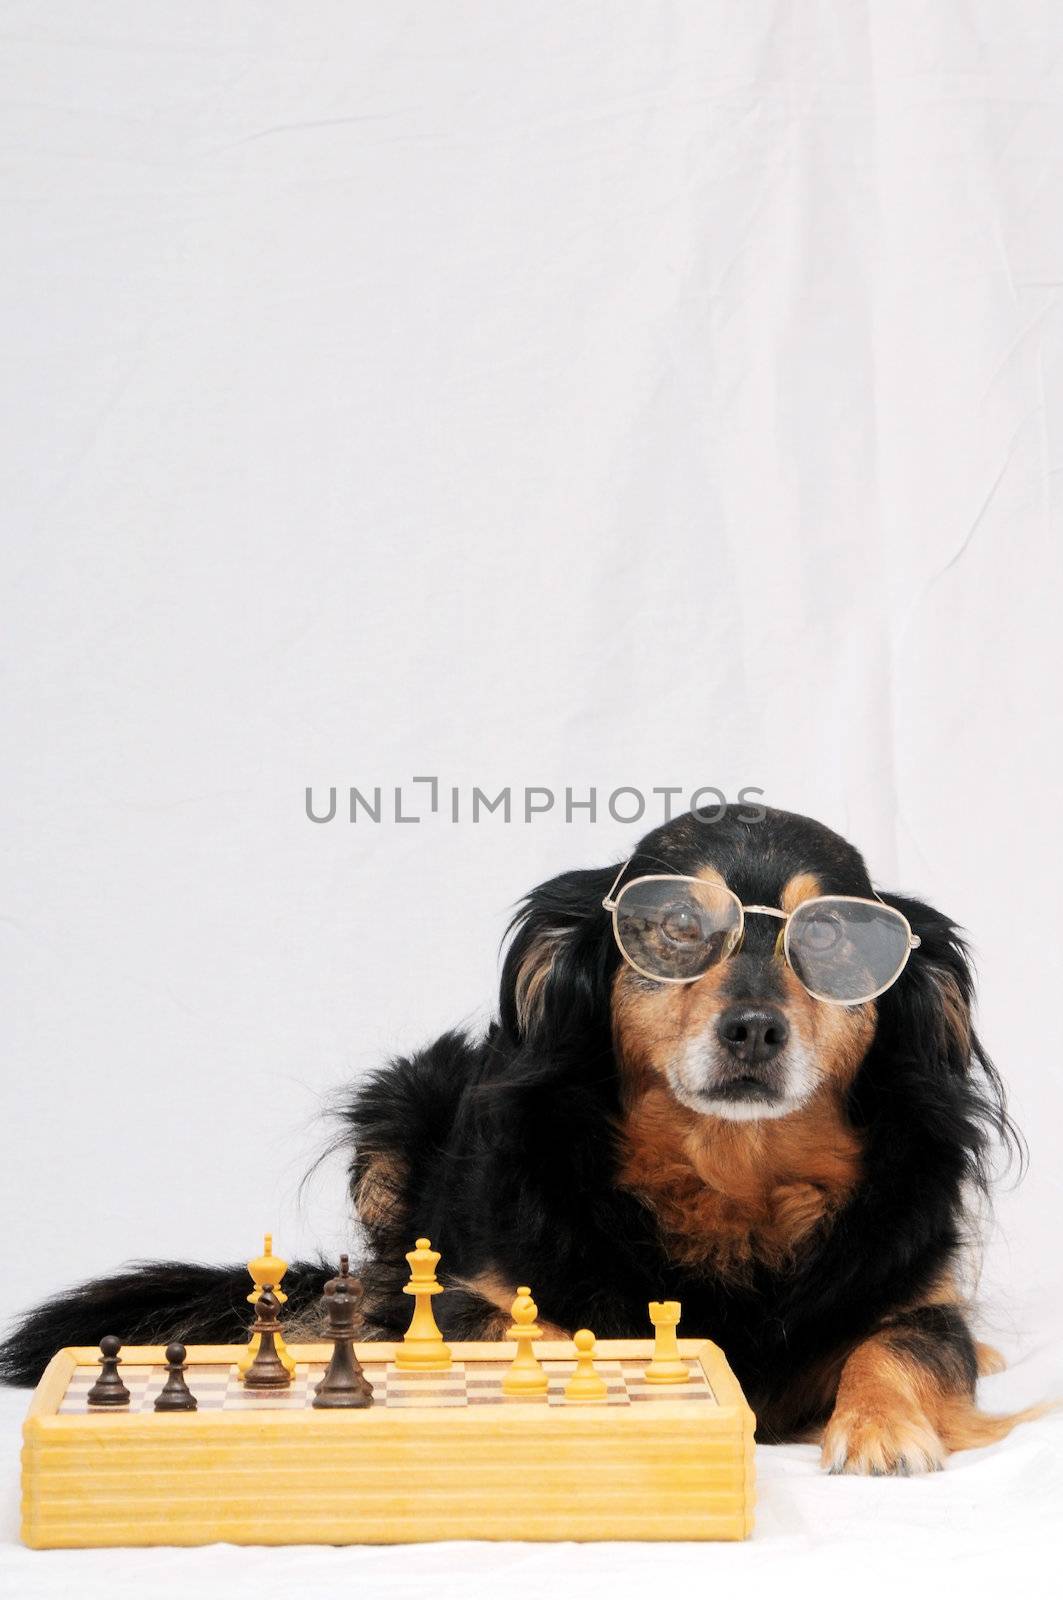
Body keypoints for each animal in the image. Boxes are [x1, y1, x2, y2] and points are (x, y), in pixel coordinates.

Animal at [0, 812, 1030, 1472]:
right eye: (672, 928)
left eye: (836, 947)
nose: (752, 1031)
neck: (729, 1178)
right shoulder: (471, 1298)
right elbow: (526, 1328)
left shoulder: (916, 1299)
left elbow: (902, 1350)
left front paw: (883, 1431)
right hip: (393, 1117)